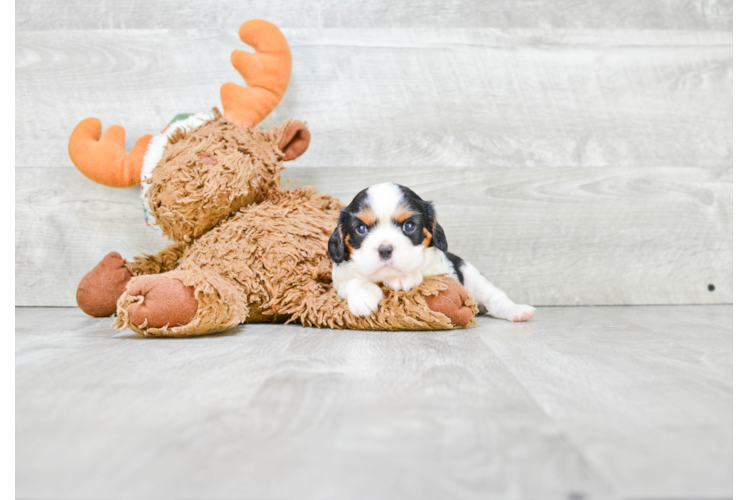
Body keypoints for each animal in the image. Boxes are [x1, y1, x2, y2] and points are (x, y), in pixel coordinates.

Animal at [326, 183, 532, 320]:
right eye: (361, 229)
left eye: (409, 226)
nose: (385, 249)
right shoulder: (340, 276)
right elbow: (353, 280)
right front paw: (364, 296)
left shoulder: (442, 270)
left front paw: (403, 277)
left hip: (475, 279)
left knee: (495, 298)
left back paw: (518, 311)